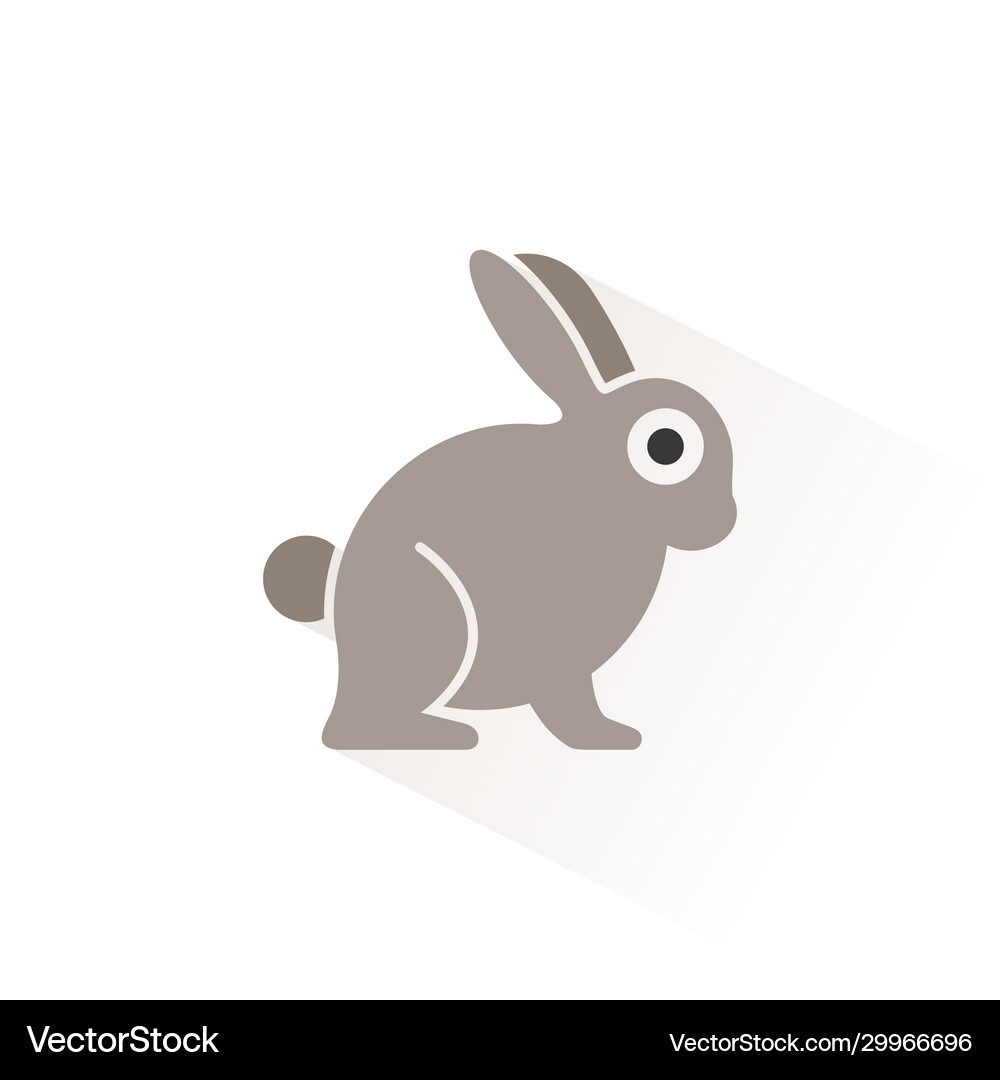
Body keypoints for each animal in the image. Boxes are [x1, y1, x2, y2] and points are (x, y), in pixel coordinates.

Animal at [264, 251, 736, 749]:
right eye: (666, 446)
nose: (725, 521)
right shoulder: (560, 653)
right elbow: (569, 706)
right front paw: (608, 739)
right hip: (433, 620)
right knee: (350, 729)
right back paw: (447, 735)